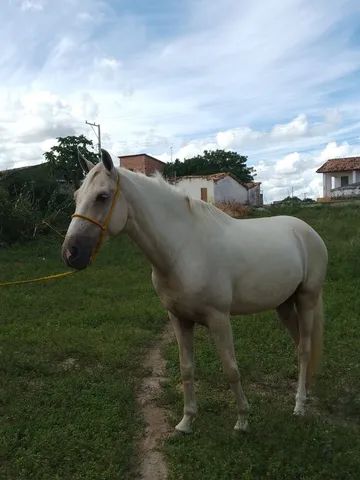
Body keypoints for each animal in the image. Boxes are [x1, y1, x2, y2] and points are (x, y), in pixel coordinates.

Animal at [62, 151, 326, 436]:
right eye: (76, 196)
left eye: (102, 196)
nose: (71, 253)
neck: (184, 249)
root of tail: (308, 232)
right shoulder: (179, 319)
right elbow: (186, 368)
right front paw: (186, 421)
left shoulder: (219, 319)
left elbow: (231, 369)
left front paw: (242, 420)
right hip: (284, 305)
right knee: (300, 345)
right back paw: (306, 394)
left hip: (307, 299)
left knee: (304, 349)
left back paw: (299, 406)